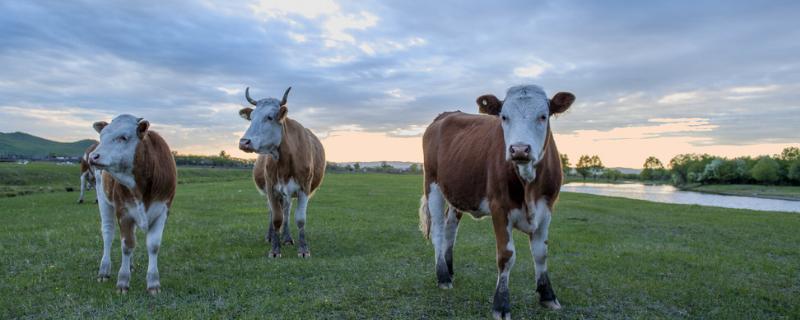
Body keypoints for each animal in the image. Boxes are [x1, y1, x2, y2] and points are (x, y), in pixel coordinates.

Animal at [90, 115, 179, 296]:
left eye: (123, 137)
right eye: (102, 136)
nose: (92, 157)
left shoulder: (163, 211)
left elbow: (153, 246)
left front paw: (153, 282)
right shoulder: (123, 212)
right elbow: (127, 245)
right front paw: (123, 281)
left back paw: (130, 265)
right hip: (103, 200)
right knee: (108, 234)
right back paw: (104, 270)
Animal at [238, 85, 324, 258]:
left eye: (270, 117)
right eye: (252, 117)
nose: (244, 142)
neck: (286, 161)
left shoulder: (304, 188)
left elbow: (300, 219)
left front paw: (303, 249)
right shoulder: (271, 188)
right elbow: (277, 218)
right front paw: (275, 250)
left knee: (287, 210)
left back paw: (287, 238)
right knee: (274, 212)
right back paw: (271, 236)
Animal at [418, 84, 576, 318]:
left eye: (543, 116)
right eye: (504, 116)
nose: (519, 149)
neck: (528, 184)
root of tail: (445, 115)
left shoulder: (547, 208)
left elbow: (541, 253)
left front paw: (547, 295)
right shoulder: (499, 207)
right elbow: (506, 255)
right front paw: (501, 304)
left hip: (456, 191)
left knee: (450, 228)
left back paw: (450, 269)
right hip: (432, 184)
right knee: (438, 230)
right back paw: (443, 276)